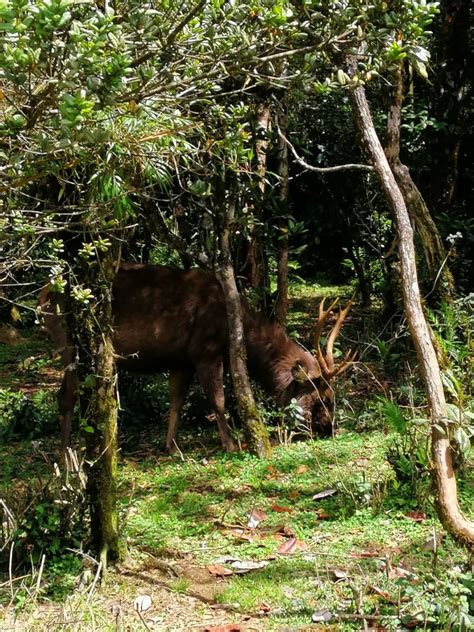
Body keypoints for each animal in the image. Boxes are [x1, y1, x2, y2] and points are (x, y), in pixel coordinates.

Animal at [39, 262, 354, 454]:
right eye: (322, 396)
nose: (329, 428)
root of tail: (42, 297)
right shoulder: (206, 349)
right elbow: (218, 399)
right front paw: (231, 443)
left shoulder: (181, 359)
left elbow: (176, 400)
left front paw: (170, 445)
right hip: (70, 343)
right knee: (63, 395)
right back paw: (66, 457)